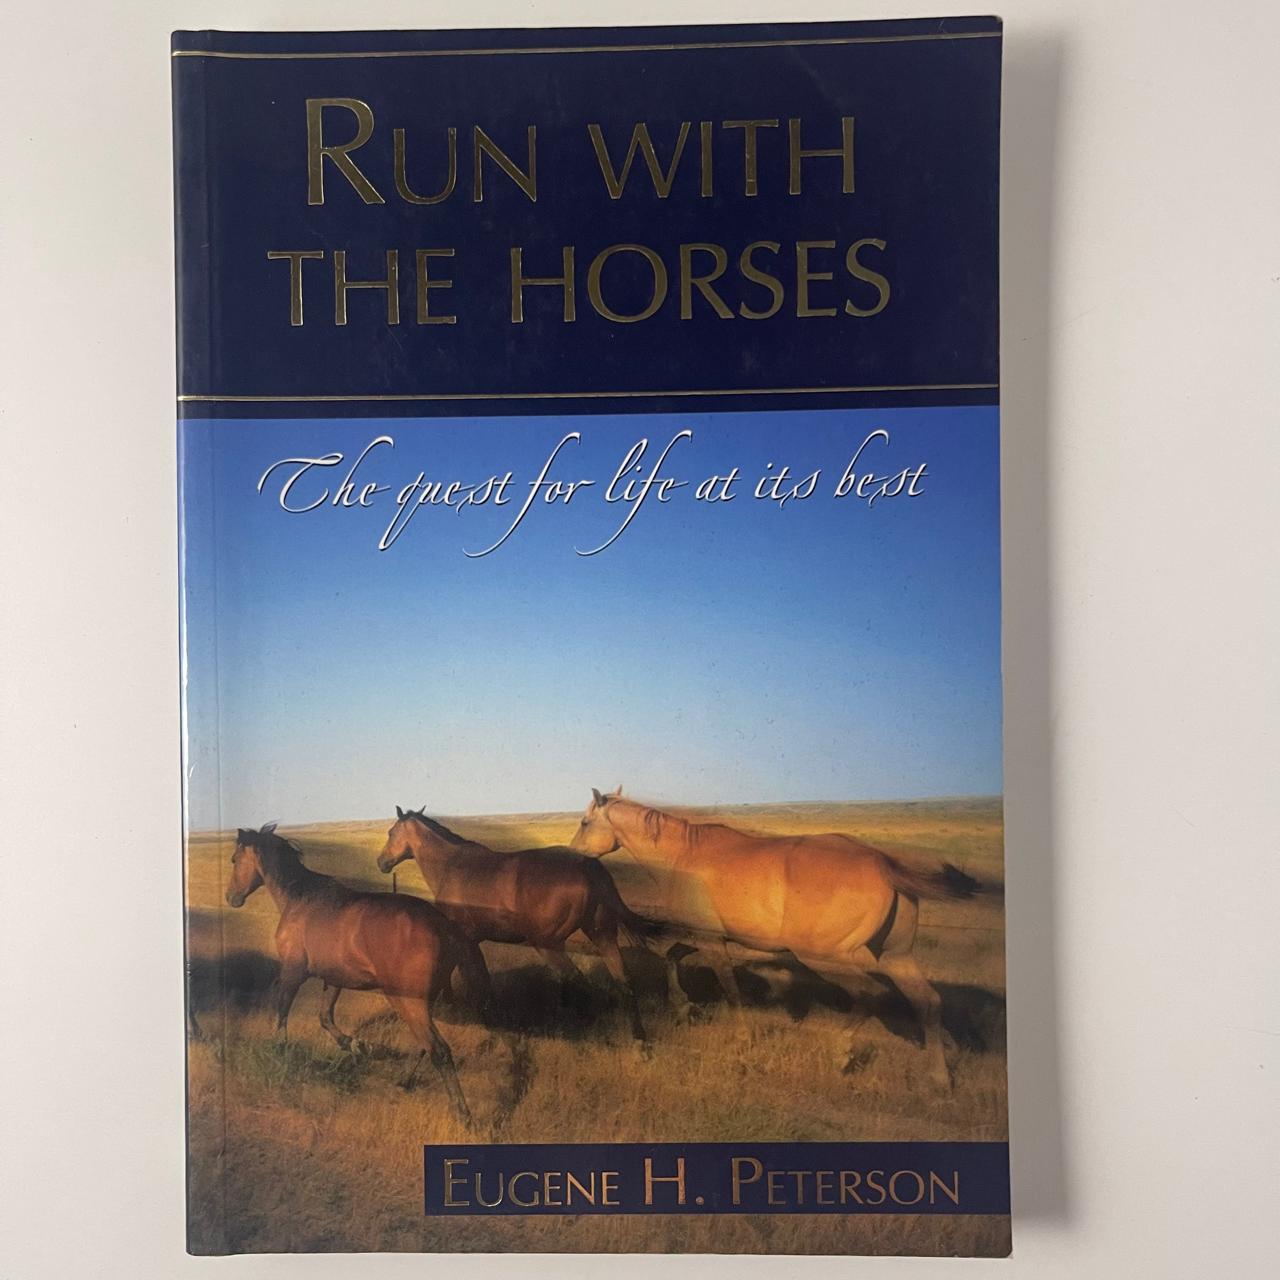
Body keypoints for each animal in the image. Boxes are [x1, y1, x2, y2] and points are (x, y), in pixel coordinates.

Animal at [225, 823, 487, 1122]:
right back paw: (403, 1081)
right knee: (424, 1043)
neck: (299, 901)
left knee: (438, 1050)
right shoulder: (333, 978)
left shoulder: (293, 971)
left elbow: (282, 1012)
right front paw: (358, 1046)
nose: (231, 897)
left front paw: (279, 1050)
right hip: (418, 1001)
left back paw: (462, 1113)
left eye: (234, 860)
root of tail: (445, 926)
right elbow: (325, 1018)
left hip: (406, 1000)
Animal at [378, 806, 658, 1047]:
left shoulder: (464, 940)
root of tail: (588, 866)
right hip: (603, 936)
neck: (452, 864)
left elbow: (473, 981)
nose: (381, 862)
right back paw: (640, 1041)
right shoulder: (474, 941)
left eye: (391, 832)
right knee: (624, 982)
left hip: (548, 944)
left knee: (582, 983)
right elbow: (482, 982)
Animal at [568, 789, 979, 1088]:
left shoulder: (713, 942)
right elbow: (673, 955)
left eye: (585, 822)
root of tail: (881, 863)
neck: (681, 856)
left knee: (871, 993)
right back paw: (941, 1072)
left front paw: (742, 1039)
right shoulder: (707, 936)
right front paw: (684, 1006)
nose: (570, 856)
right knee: (927, 1000)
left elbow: (731, 988)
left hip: (826, 957)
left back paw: (842, 1051)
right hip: (894, 955)